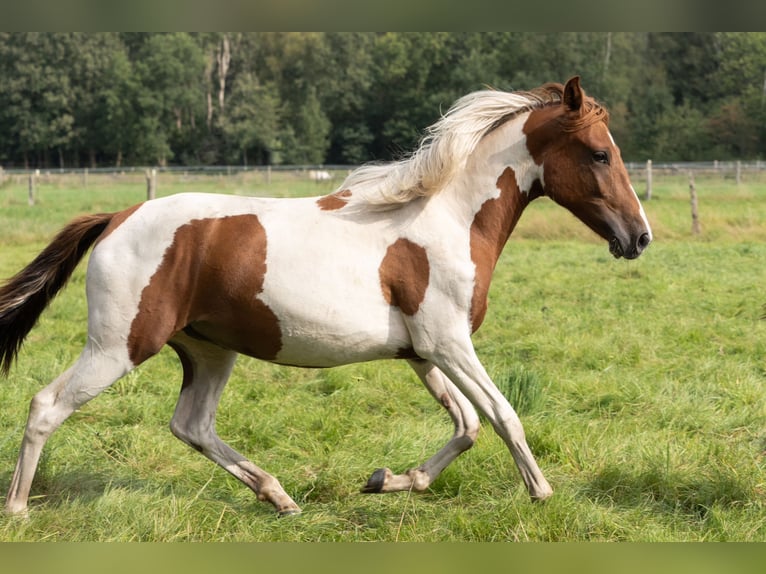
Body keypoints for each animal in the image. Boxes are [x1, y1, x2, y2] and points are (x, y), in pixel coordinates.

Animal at [0, 75, 652, 516]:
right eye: (600, 153)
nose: (638, 237)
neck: (448, 218)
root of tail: (116, 218)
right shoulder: (449, 343)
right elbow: (502, 414)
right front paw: (542, 492)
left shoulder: (423, 353)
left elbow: (466, 425)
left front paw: (388, 480)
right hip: (119, 346)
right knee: (46, 406)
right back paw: (18, 508)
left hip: (209, 351)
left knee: (192, 425)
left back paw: (279, 496)